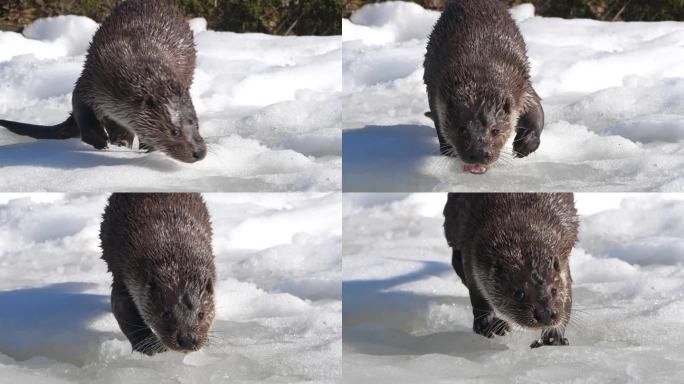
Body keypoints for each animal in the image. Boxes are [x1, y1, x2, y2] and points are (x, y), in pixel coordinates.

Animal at [0, 0, 206, 162]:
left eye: (196, 125)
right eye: (174, 131)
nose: (200, 152)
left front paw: (148, 148)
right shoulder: (92, 80)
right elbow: (81, 110)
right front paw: (100, 141)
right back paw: (119, 142)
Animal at [99, 194, 215, 356]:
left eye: (201, 314)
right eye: (166, 314)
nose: (187, 340)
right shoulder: (123, 271)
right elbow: (123, 311)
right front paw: (154, 348)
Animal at [422, 0, 544, 174]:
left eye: (495, 130)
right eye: (462, 129)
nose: (478, 153)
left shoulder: (522, 86)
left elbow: (536, 110)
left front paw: (525, 144)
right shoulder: (436, 90)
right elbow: (439, 123)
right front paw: (448, 151)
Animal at [444, 194, 576, 346]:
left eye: (554, 290)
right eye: (518, 293)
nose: (545, 314)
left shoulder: (563, 261)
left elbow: (567, 298)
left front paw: (553, 338)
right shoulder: (471, 247)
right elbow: (476, 292)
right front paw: (490, 325)